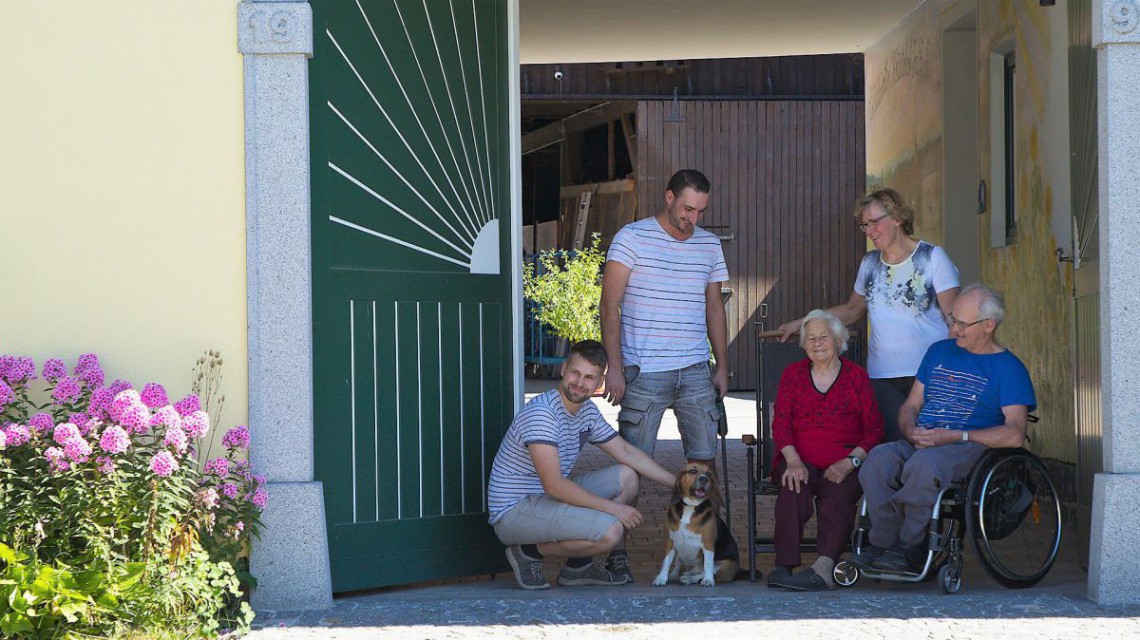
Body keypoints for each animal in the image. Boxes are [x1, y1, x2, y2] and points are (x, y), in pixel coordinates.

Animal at [652, 460, 738, 588]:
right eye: (693, 471)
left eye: (708, 474)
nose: (704, 479)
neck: (690, 506)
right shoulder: (670, 541)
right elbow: (666, 562)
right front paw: (661, 578)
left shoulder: (708, 544)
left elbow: (708, 565)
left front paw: (708, 580)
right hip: (680, 555)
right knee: (678, 570)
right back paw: (674, 576)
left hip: (726, 564)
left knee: (702, 573)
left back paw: (689, 578)